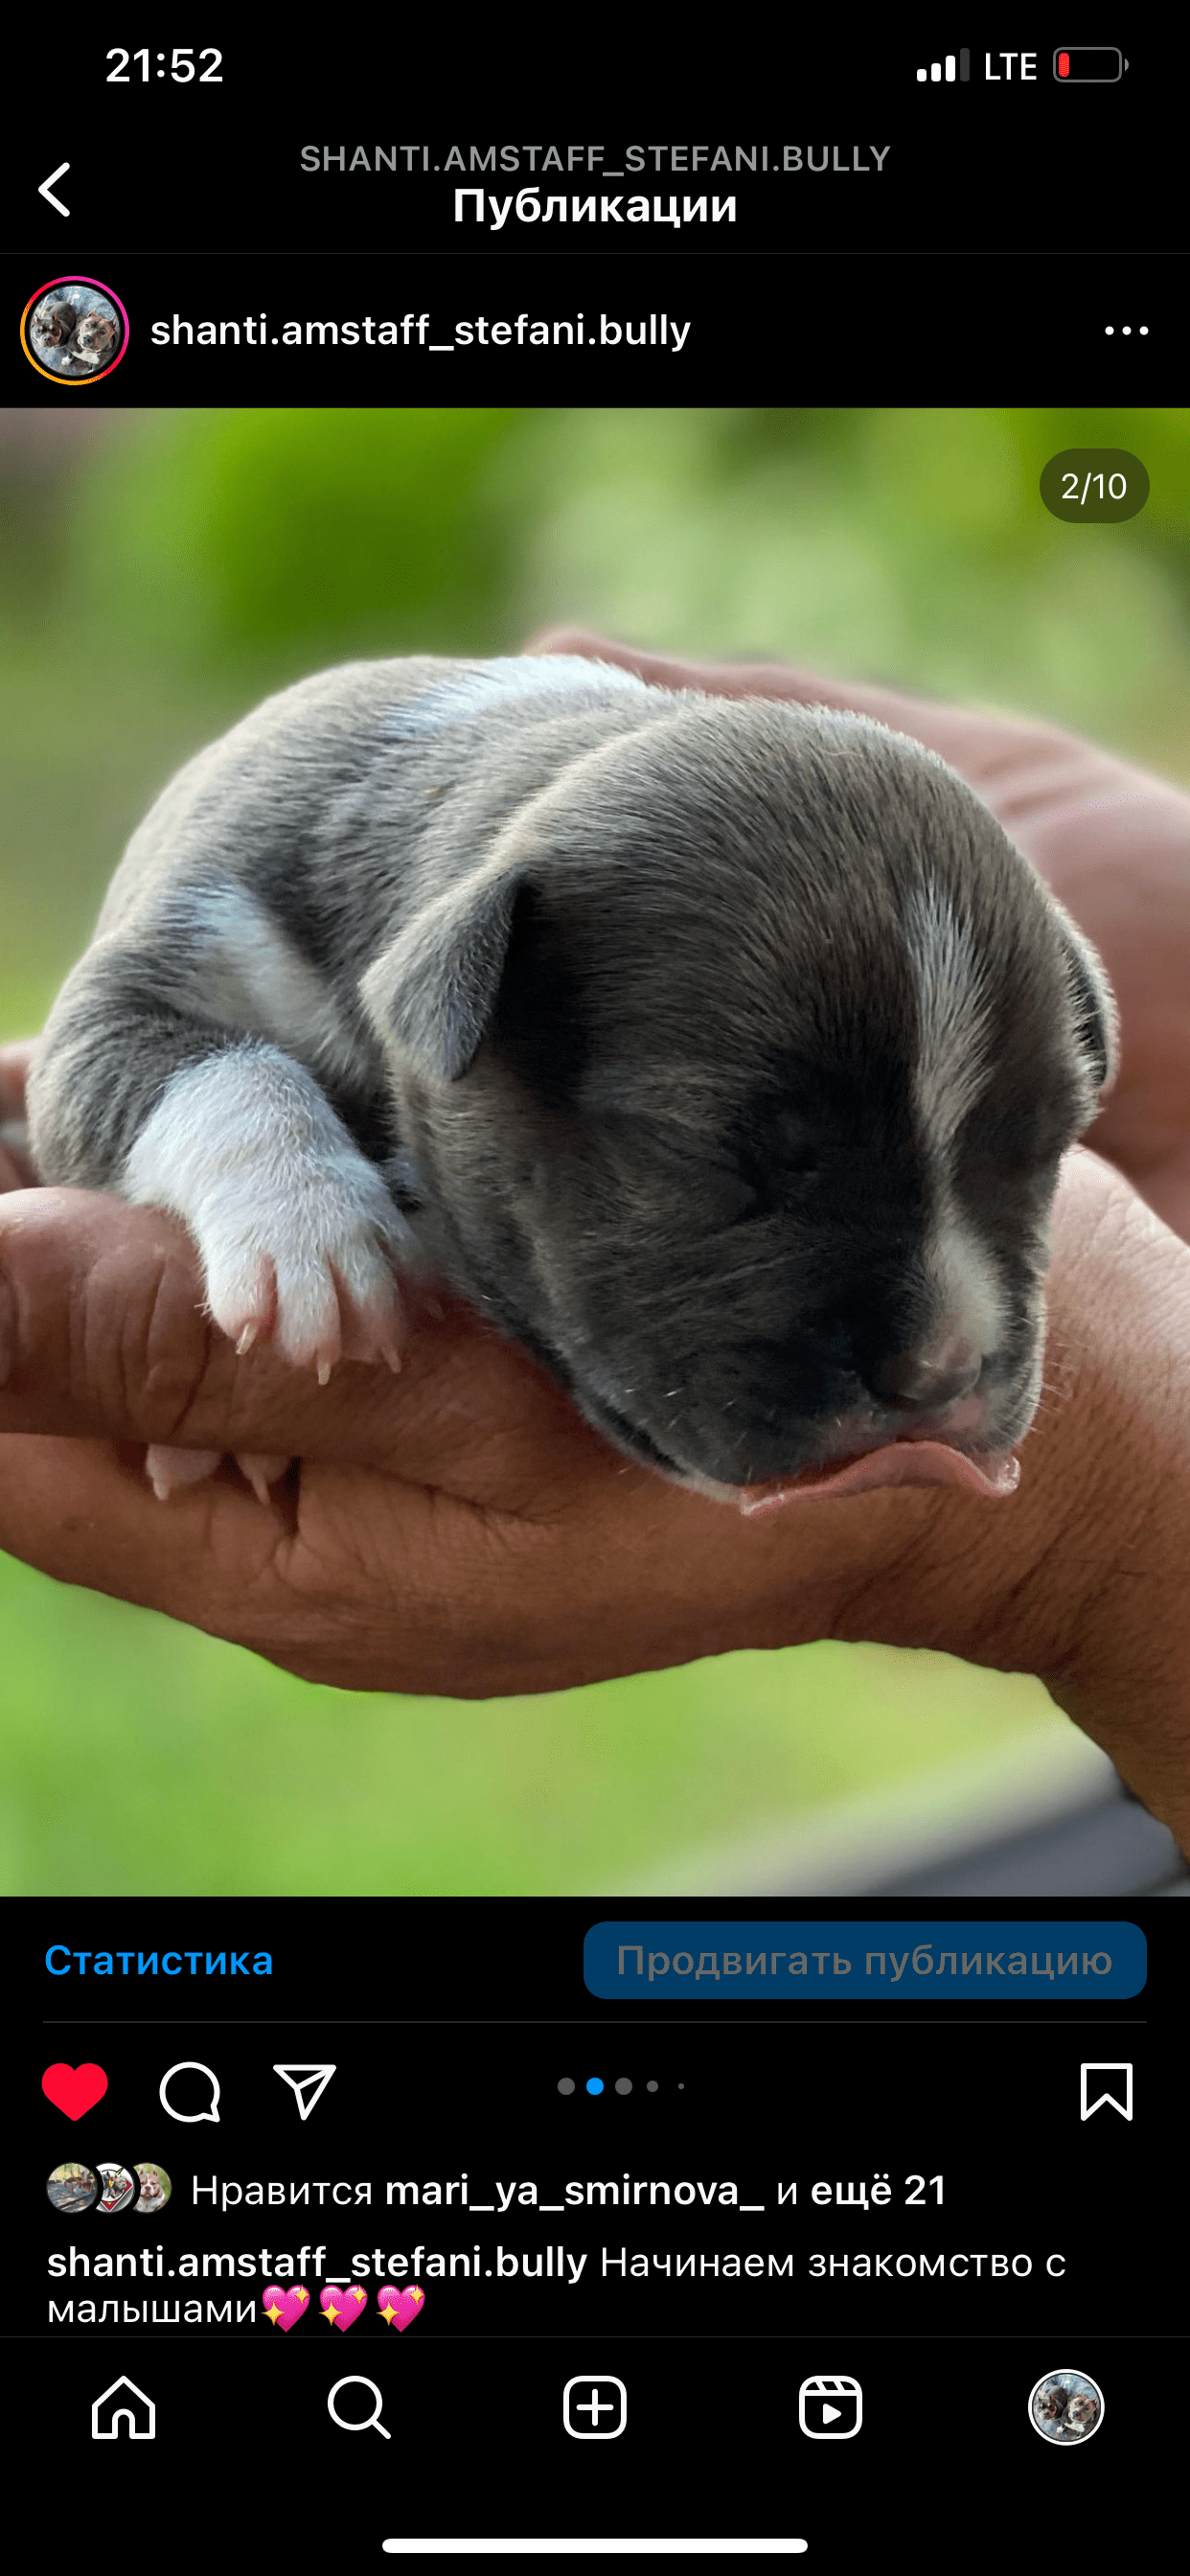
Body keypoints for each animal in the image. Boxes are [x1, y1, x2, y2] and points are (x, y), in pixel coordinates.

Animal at [25, 654, 1117, 1514]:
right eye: (703, 1150)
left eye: (1044, 1150)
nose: (942, 1371)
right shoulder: (172, 956)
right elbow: (212, 1065)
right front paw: (313, 1228)